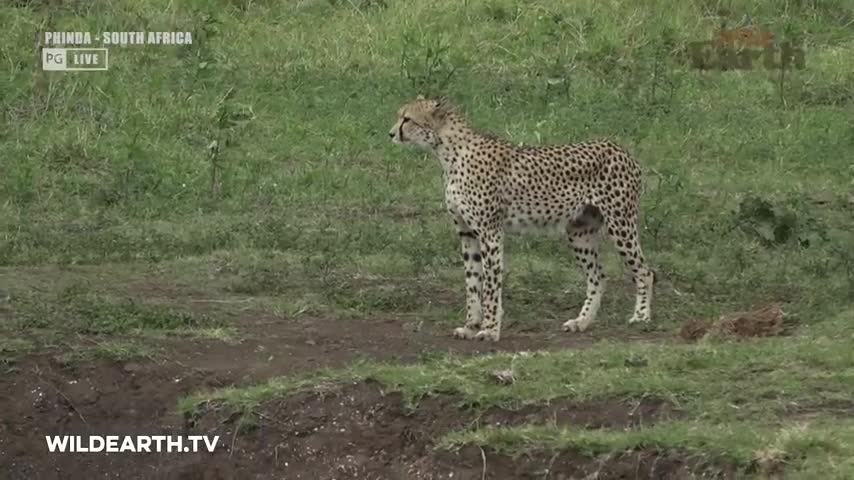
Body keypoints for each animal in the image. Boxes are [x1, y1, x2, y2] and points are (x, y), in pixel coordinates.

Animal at [388, 95, 656, 342]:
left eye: (407, 119)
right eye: (401, 116)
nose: (390, 133)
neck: (448, 153)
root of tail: (621, 149)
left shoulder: (490, 233)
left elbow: (490, 286)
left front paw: (490, 329)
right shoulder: (467, 233)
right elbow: (472, 284)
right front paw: (471, 326)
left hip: (620, 224)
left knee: (645, 271)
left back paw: (641, 316)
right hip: (579, 231)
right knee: (598, 277)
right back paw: (581, 322)